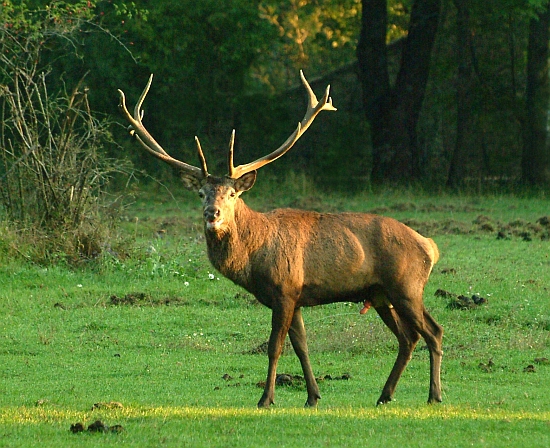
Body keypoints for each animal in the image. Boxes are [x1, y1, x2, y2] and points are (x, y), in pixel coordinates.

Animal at [117, 71, 444, 410]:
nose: (212, 213)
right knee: (408, 337)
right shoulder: (296, 297)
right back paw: (385, 395)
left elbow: (276, 346)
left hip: (406, 285)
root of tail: (430, 246)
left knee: (434, 331)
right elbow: (301, 346)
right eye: (201, 193)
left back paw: (434, 395)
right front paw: (312, 396)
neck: (253, 259)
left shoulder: (285, 289)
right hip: (380, 294)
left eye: (232, 194)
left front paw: (266, 398)